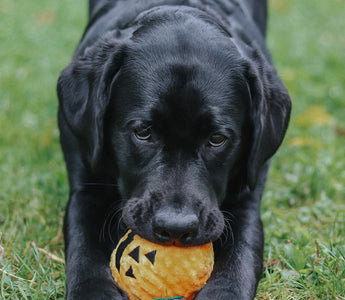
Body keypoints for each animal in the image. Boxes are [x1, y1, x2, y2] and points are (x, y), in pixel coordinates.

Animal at [57, 1, 290, 298]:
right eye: (143, 131)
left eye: (217, 138)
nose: (176, 228)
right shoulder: (85, 185)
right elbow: (83, 248)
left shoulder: (247, 196)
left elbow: (241, 257)